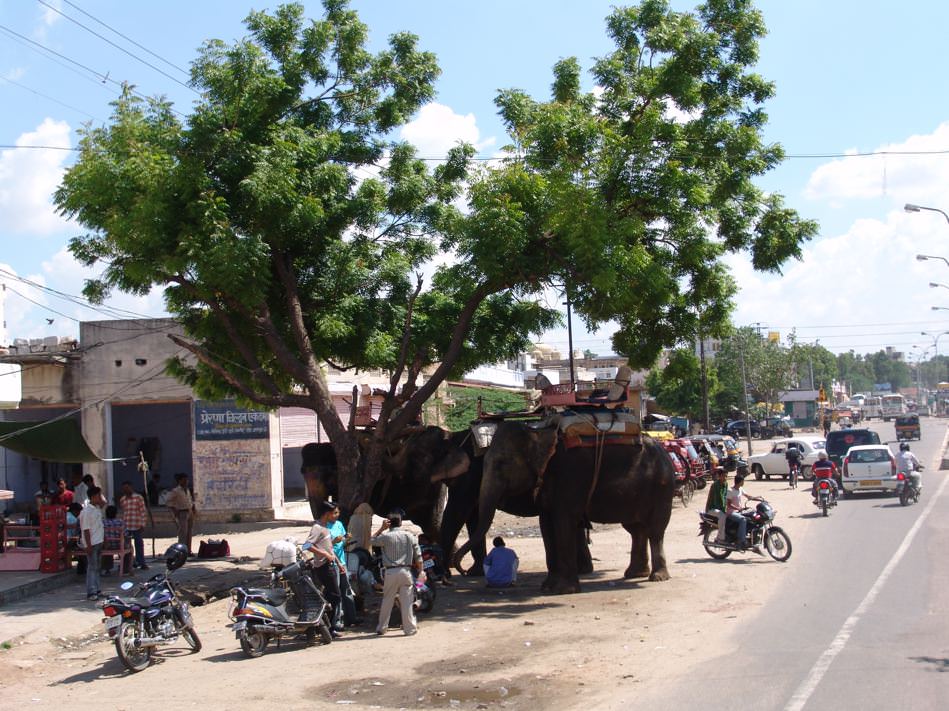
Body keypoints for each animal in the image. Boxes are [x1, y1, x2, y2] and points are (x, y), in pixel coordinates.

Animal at [454, 422, 672, 596]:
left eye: (501, 464)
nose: (464, 571)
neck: (538, 433)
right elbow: (546, 525)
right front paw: (547, 587)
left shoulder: (571, 476)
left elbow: (564, 521)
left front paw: (563, 590)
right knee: (636, 529)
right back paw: (635, 574)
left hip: (661, 489)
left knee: (655, 531)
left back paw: (658, 577)